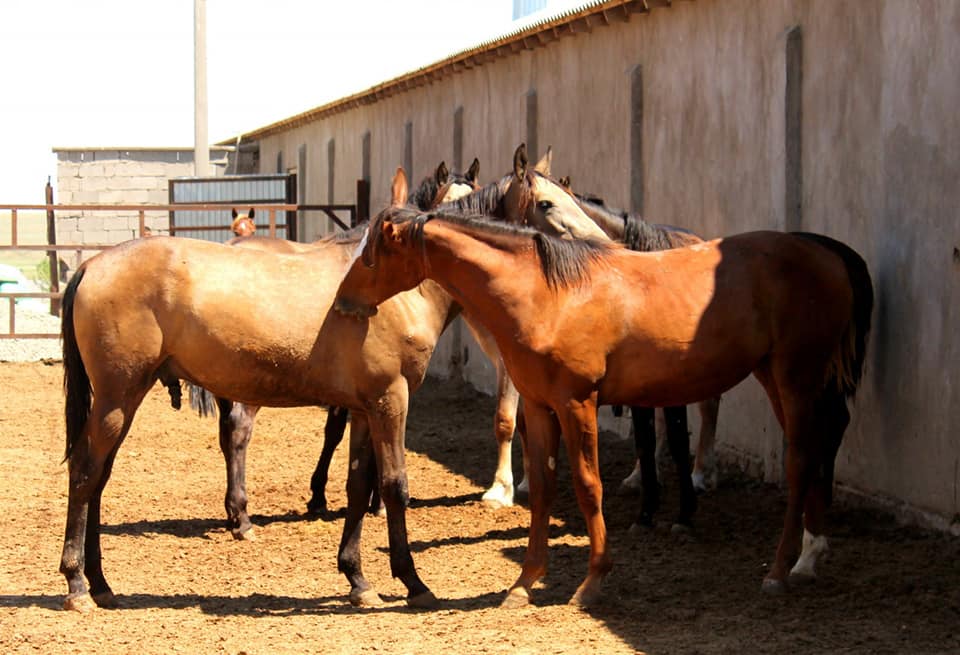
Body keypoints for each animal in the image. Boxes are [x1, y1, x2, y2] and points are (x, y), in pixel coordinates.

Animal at [334, 206, 872, 608]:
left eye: (370, 258)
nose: (341, 304)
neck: (549, 295)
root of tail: (824, 253)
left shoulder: (578, 403)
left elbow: (588, 486)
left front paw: (592, 581)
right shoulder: (539, 406)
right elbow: (544, 488)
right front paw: (524, 583)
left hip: (796, 376)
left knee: (800, 461)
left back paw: (780, 570)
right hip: (774, 376)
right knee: (812, 453)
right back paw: (808, 558)